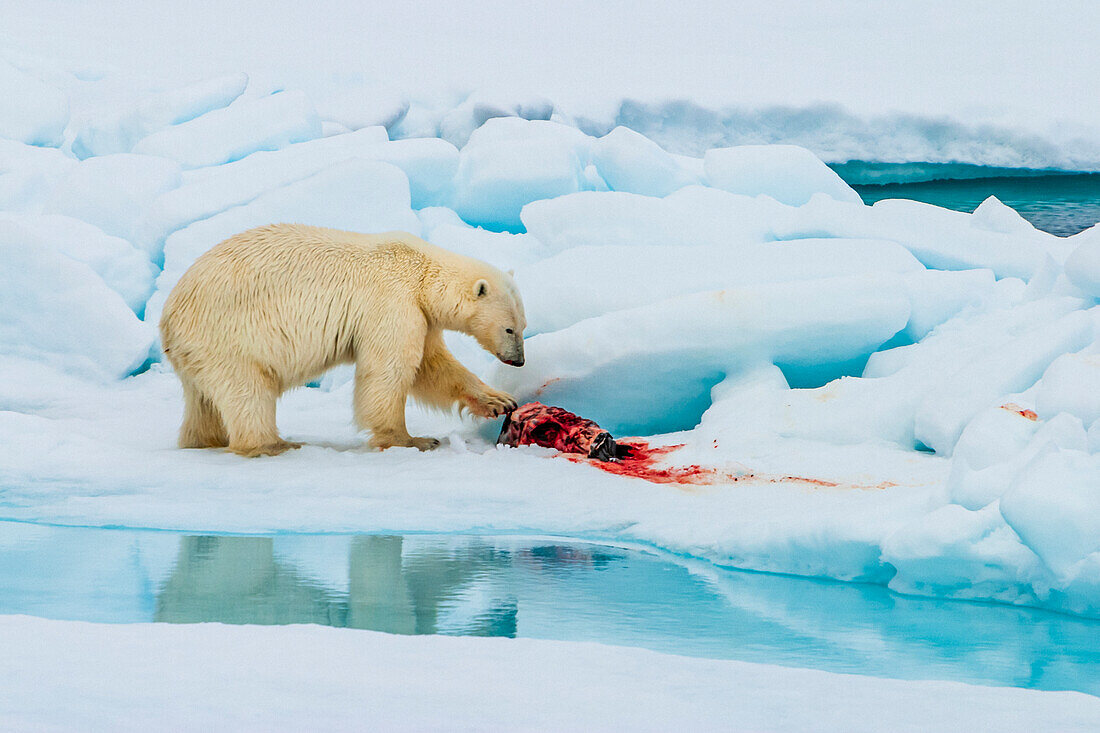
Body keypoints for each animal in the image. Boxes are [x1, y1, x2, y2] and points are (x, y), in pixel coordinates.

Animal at [156, 222, 528, 453]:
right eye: (509, 328)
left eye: (524, 325)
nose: (519, 360)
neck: (420, 271)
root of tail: (169, 314)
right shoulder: (393, 302)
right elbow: (391, 369)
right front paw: (413, 439)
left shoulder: (421, 314)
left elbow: (432, 365)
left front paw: (499, 401)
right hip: (226, 336)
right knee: (247, 390)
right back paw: (273, 444)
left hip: (198, 352)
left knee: (204, 401)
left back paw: (203, 440)